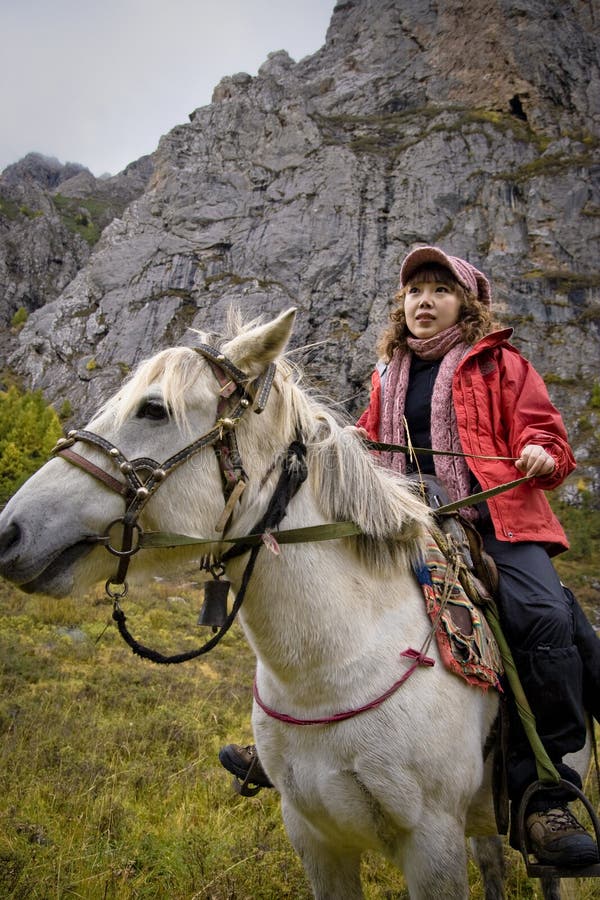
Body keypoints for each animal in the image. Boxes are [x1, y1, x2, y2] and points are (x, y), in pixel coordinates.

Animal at [0, 308, 592, 892]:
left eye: (153, 409)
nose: (9, 531)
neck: (333, 665)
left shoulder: (432, 843)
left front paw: (539, 457)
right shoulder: (314, 838)